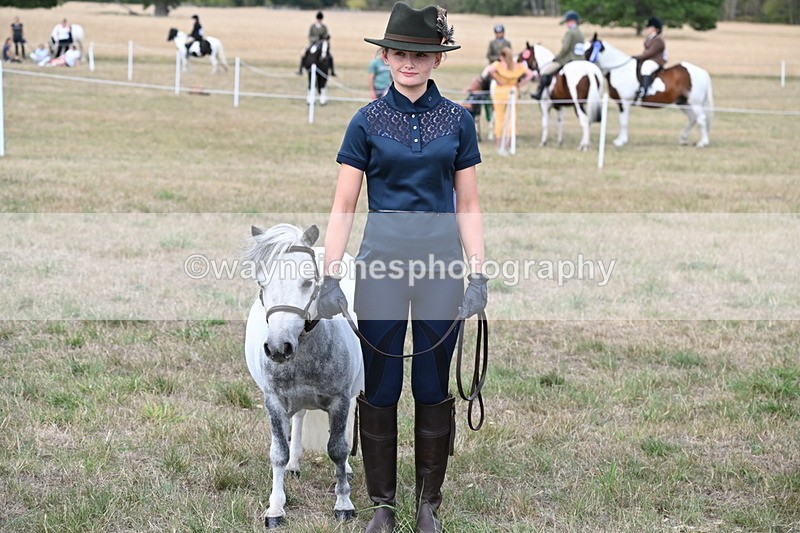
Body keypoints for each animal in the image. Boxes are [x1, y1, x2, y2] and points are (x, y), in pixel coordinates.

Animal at [243, 223, 364, 528]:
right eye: (262, 284)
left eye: (308, 282)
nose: (278, 348)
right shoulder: (274, 401)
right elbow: (278, 453)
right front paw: (275, 508)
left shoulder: (339, 400)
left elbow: (337, 448)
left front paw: (343, 504)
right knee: (298, 418)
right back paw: (294, 465)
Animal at [586, 33, 714, 148]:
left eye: (590, 49)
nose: (585, 64)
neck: (620, 70)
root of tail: (703, 72)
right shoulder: (620, 103)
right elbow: (621, 120)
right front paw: (620, 140)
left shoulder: (624, 102)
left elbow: (623, 122)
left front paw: (621, 141)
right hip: (683, 102)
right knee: (693, 119)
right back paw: (683, 140)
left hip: (695, 103)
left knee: (701, 119)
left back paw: (703, 143)